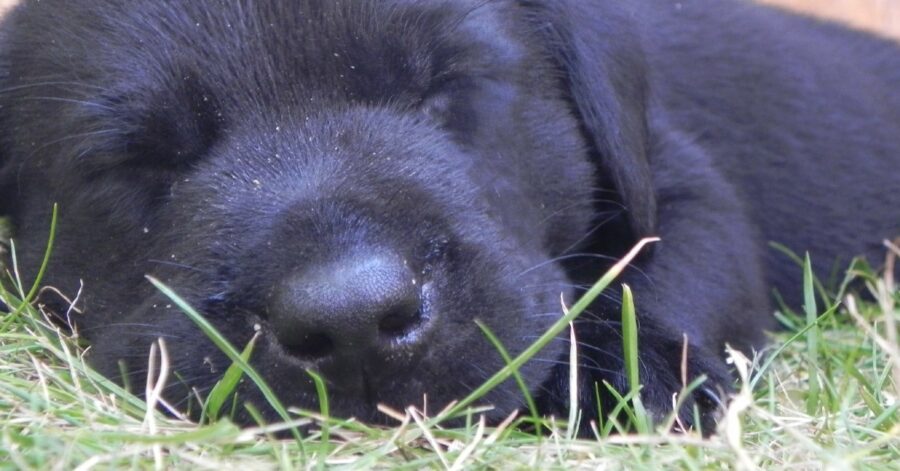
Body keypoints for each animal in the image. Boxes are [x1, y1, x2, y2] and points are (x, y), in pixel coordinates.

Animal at [1, 0, 900, 432]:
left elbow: (674, 270)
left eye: (444, 89)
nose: (353, 321)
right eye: (143, 159)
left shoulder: (672, 173)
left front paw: (634, 378)